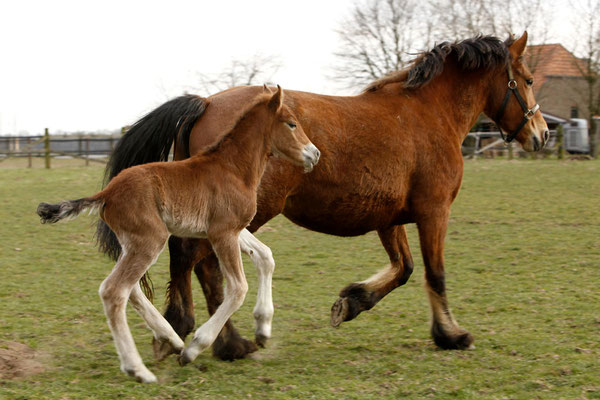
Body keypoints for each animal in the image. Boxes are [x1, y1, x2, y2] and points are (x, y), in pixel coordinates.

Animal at [37, 86, 318, 382]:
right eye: (292, 123)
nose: (315, 154)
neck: (232, 167)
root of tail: (107, 193)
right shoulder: (223, 233)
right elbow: (238, 288)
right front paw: (196, 348)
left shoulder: (227, 229)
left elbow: (265, 256)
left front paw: (262, 329)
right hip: (149, 241)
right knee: (114, 291)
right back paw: (140, 369)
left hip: (132, 244)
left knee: (130, 289)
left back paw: (170, 339)